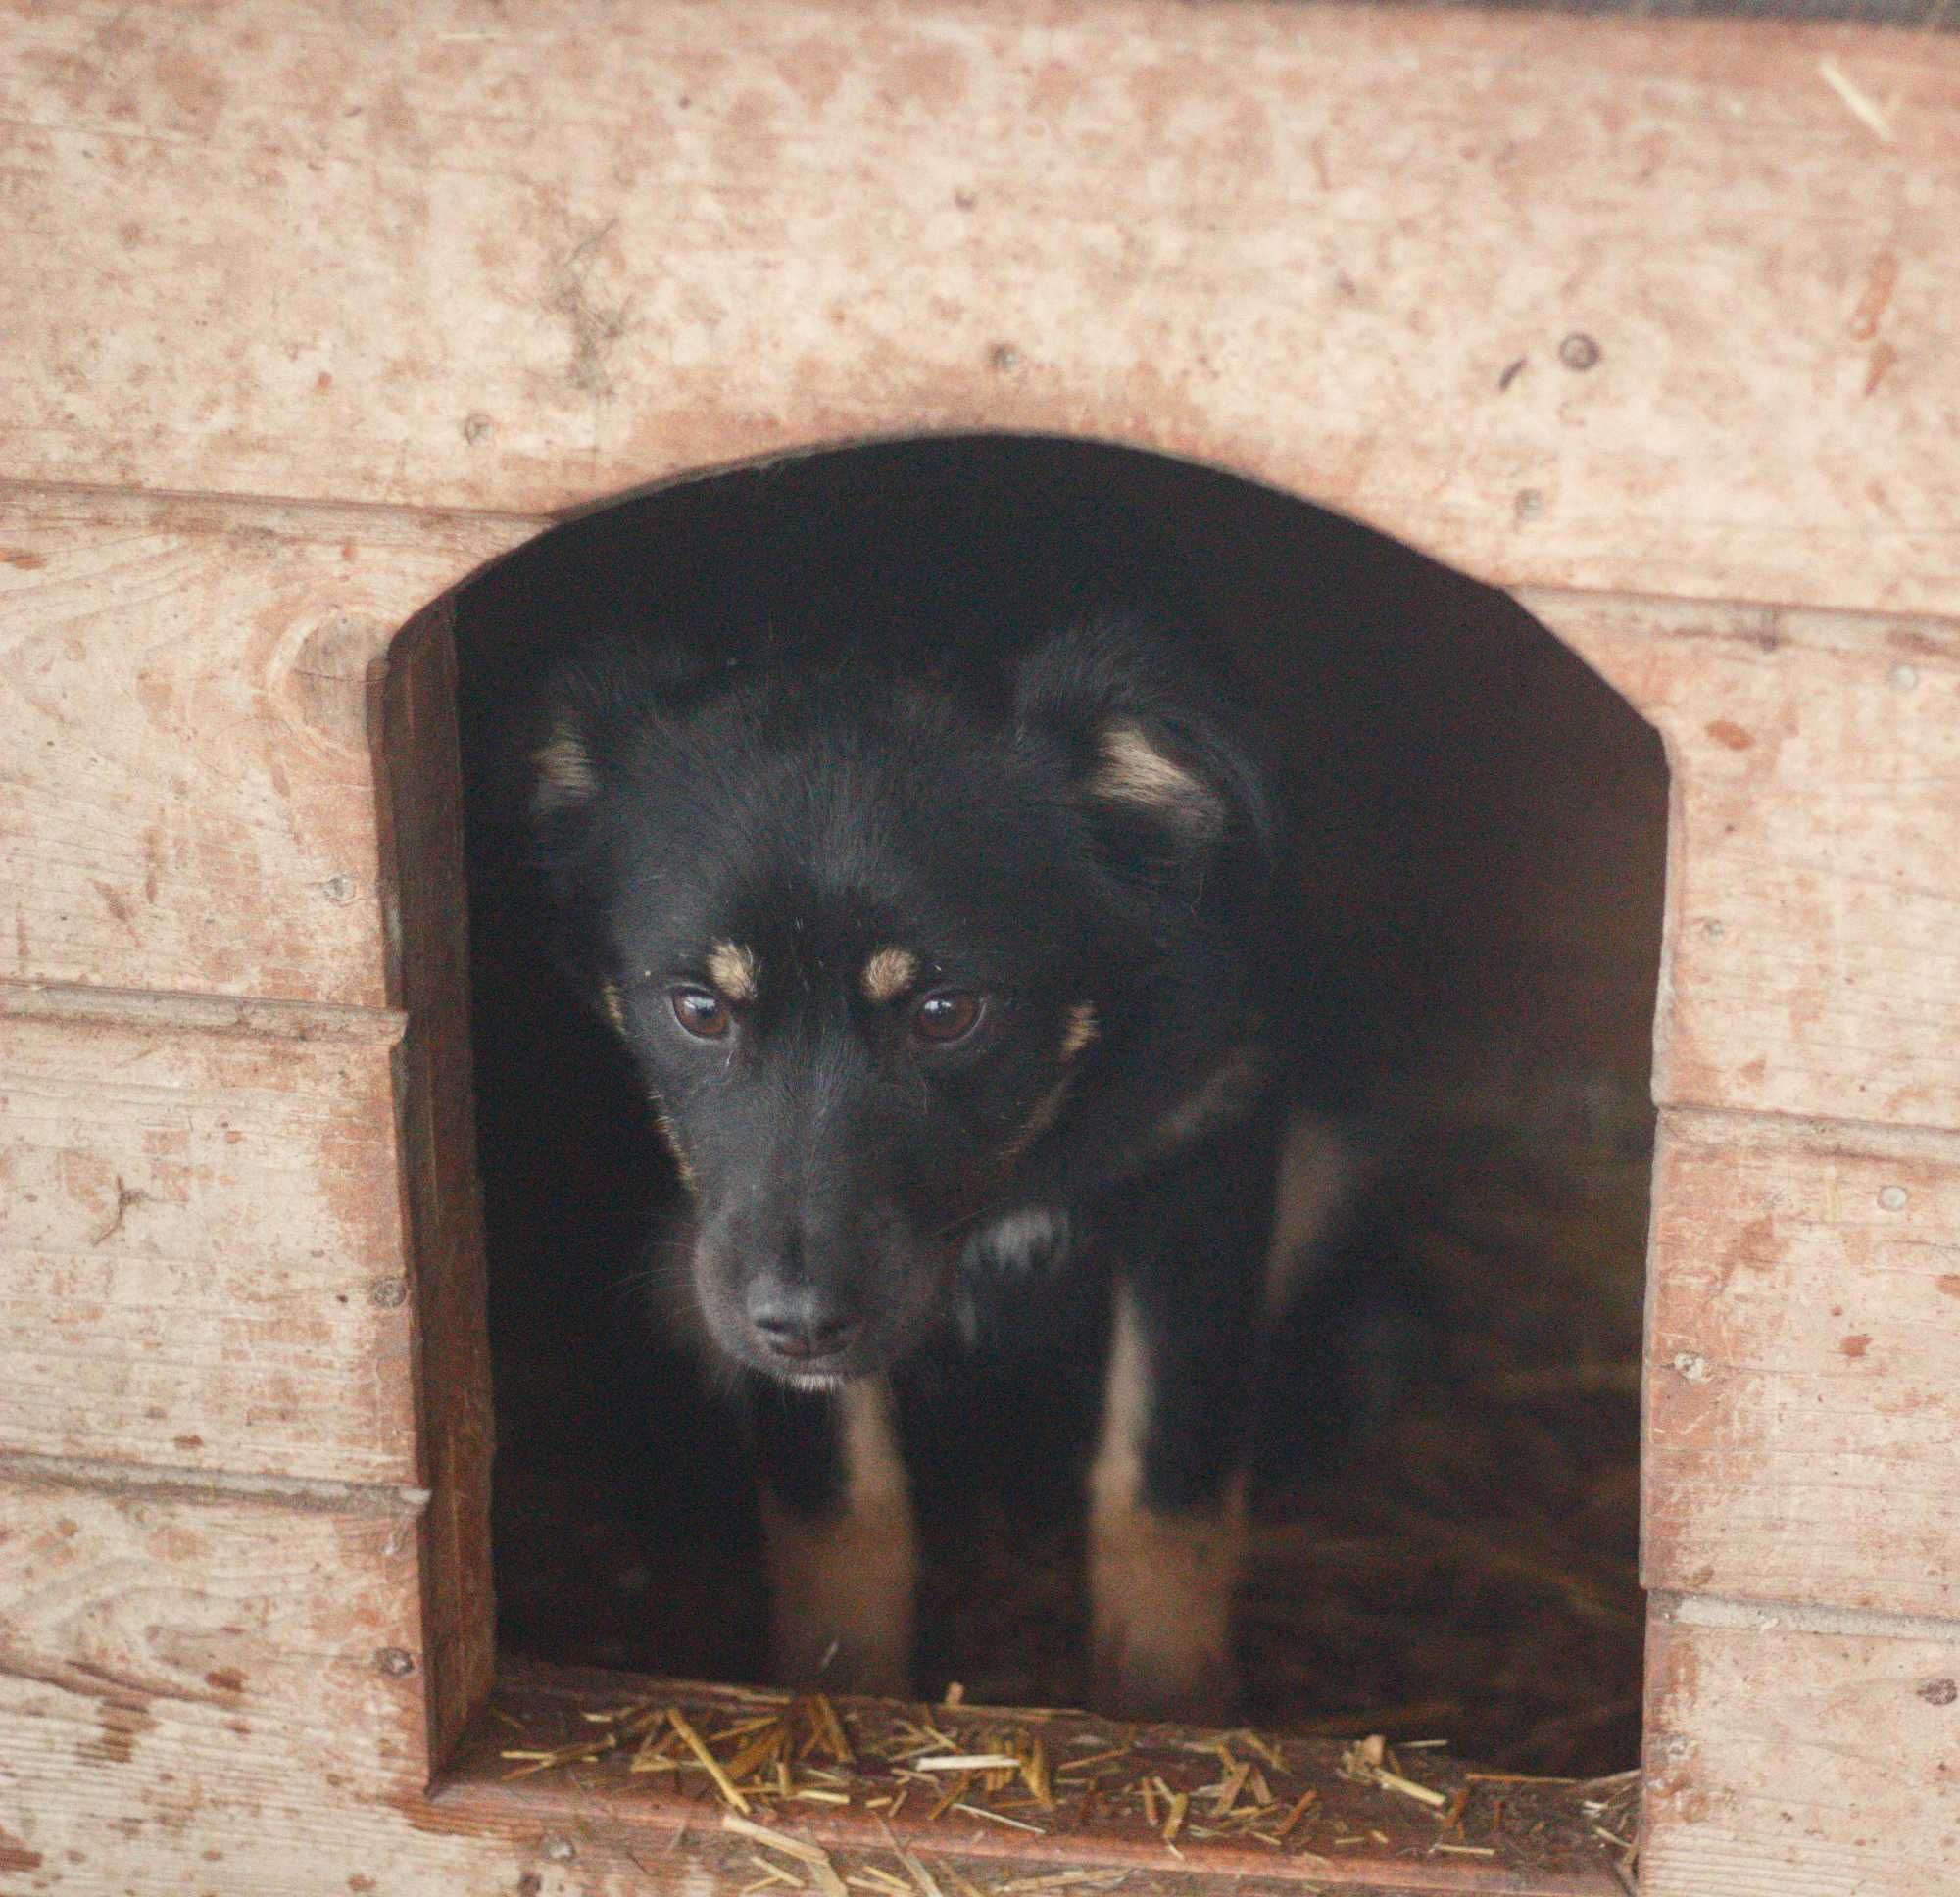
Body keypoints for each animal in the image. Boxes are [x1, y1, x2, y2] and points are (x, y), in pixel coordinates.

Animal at [533, 611, 1301, 1717]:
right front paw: (841, 1688)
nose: (799, 1322)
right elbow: (842, 1505)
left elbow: (1164, 1483)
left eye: (946, 1012)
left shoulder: (1205, 1158)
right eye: (699, 1008)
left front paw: (1166, 1709)